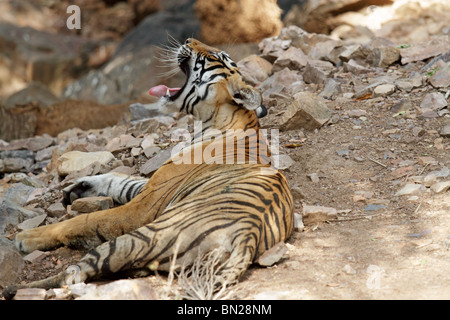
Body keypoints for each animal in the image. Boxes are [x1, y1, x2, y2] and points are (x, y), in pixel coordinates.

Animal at [8, 37, 296, 296]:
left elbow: (83, 221)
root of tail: (248, 237)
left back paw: (15, 288)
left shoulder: (144, 207)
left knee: (76, 273)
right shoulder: (156, 185)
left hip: (138, 237)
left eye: (218, 56)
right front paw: (78, 187)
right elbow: (121, 180)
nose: (188, 39)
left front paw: (26, 238)